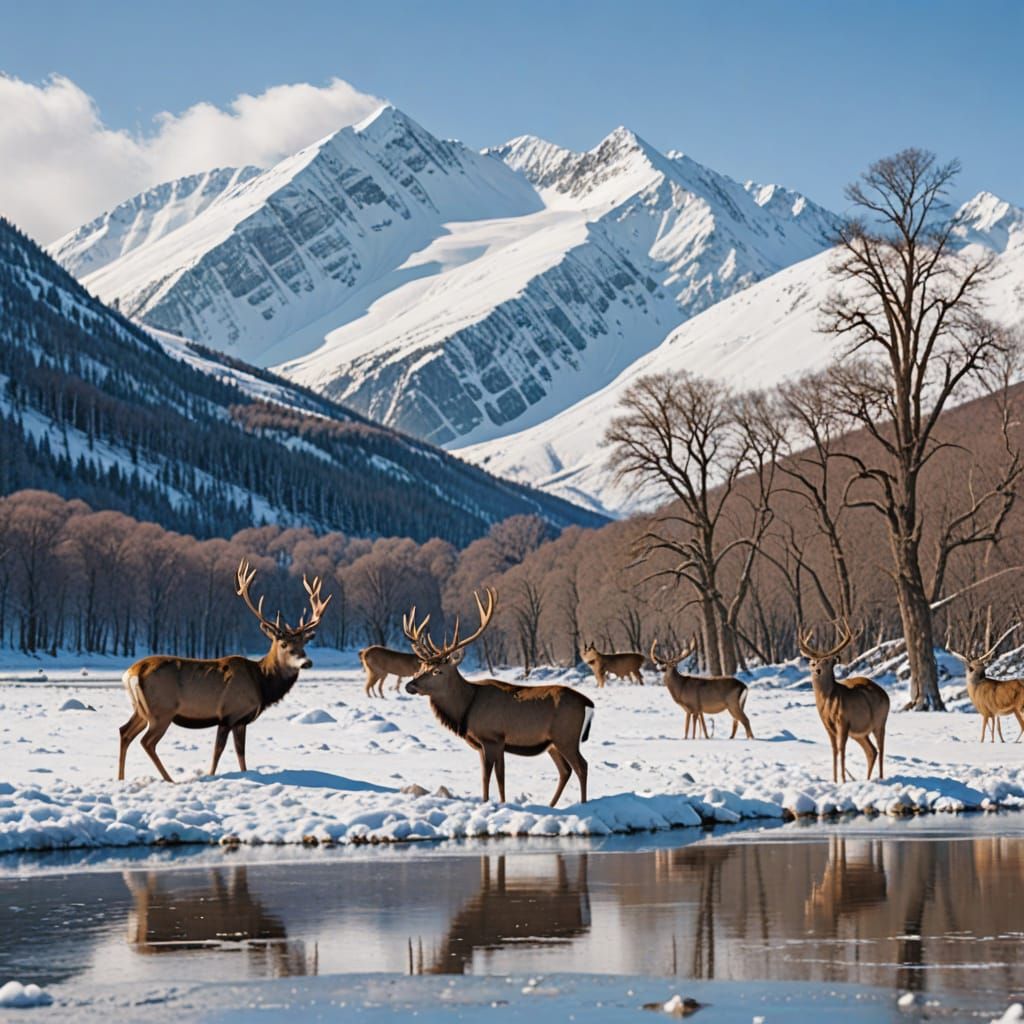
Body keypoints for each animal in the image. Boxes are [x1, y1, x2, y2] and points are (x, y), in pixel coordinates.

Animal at [117, 560, 331, 782]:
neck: (261, 683)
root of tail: (132, 673)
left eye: (304, 643)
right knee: (146, 741)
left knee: (125, 732)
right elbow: (218, 752)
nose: (306, 662)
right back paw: (169, 779)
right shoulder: (229, 714)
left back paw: (121, 778)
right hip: (162, 710)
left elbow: (241, 754)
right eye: (283, 644)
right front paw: (211, 775)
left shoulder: (241, 721)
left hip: (142, 709)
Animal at [403, 588, 594, 806]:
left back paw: (583, 804)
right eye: (421, 667)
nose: (410, 685)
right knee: (565, 770)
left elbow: (490, 777)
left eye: (437, 671)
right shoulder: (489, 744)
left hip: (567, 737)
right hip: (553, 743)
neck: (466, 708)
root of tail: (587, 703)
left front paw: (488, 802)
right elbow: (497, 777)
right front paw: (501, 802)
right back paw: (551, 805)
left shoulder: (492, 738)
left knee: (582, 766)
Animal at [798, 622, 889, 783]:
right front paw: (834, 780)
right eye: (812, 662)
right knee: (871, 751)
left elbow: (842, 749)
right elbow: (834, 750)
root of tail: (887, 696)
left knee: (881, 748)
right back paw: (867, 779)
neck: (828, 705)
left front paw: (843, 779)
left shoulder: (844, 721)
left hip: (880, 721)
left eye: (828, 661)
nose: (817, 670)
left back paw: (880, 778)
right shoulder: (828, 725)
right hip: (860, 732)